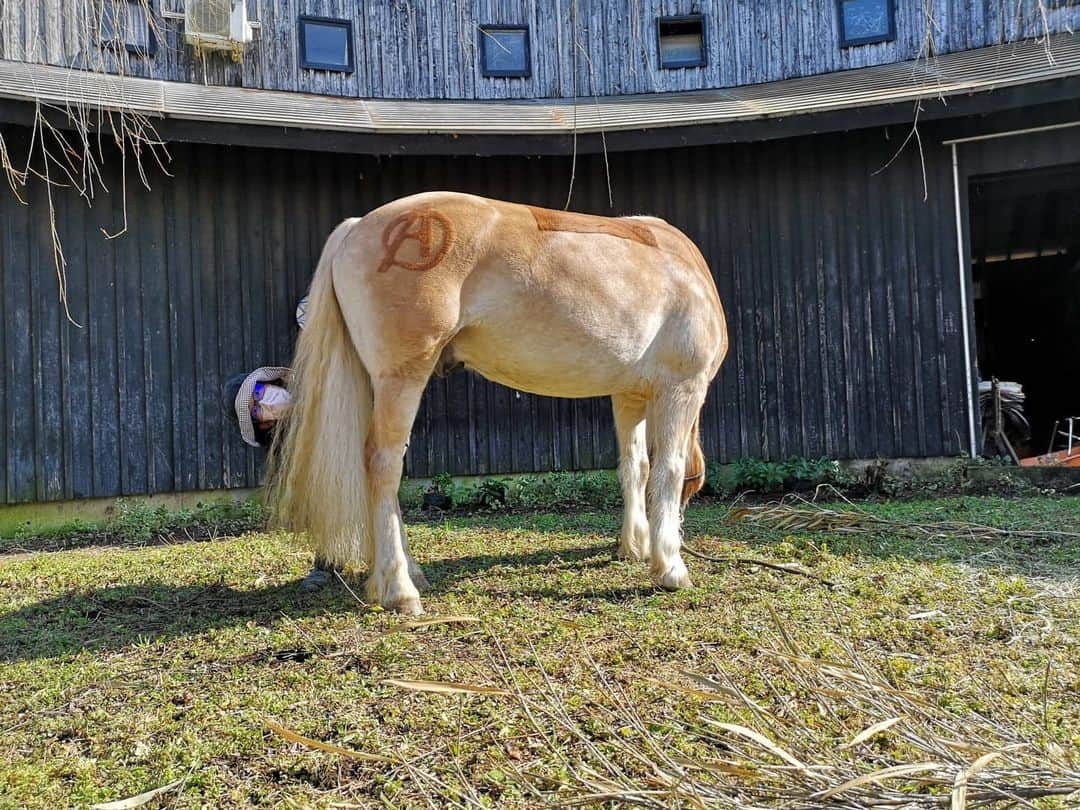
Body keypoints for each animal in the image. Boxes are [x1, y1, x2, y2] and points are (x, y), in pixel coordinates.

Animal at [265, 193, 730, 617]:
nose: (675, 539)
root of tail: (357, 228)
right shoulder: (681, 389)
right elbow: (668, 470)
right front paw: (669, 566)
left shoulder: (628, 396)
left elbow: (636, 466)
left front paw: (634, 545)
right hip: (402, 380)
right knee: (383, 464)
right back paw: (400, 589)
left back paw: (410, 572)